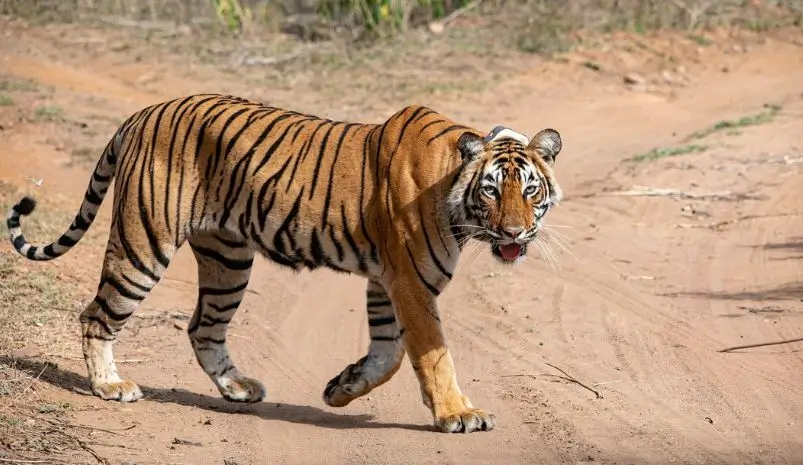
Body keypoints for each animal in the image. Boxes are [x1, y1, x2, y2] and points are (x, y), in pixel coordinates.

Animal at [6, 94, 563, 434]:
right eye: (491, 190)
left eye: (529, 190)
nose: (515, 233)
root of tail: (144, 112)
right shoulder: (409, 281)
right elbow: (433, 355)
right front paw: (458, 415)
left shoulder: (387, 282)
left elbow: (389, 352)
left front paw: (342, 389)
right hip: (144, 243)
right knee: (97, 315)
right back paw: (110, 386)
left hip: (228, 258)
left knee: (203, 327)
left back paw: (237, 388)